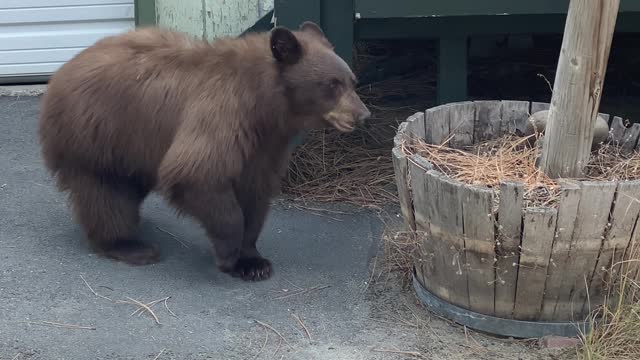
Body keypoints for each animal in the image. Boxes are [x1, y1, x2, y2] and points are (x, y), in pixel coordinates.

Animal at [38, 21, 370, 282]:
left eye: (352, 81)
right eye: (332, 84)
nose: (362, 115)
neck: (264, 105)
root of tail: (63, 69)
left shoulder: (265, 145)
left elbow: (255, 194)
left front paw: (253, 262)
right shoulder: (223, 115)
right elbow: (196, 174)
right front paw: (228, 255)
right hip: (96, 132)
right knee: (105, 192)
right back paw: (129, 246)